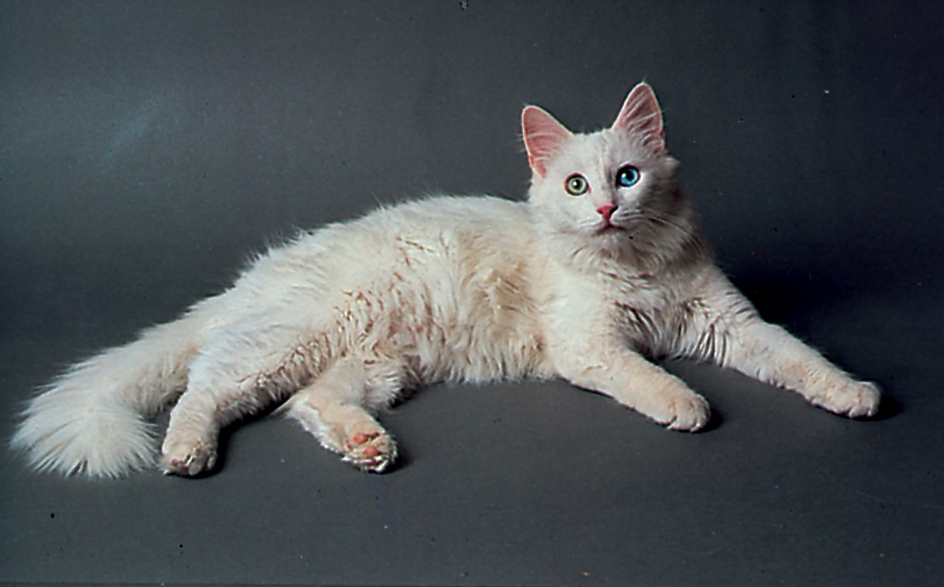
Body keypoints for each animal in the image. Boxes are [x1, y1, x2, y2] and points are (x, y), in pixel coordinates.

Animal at [7, 82, 880, 478]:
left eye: (628, 176)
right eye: (575, 186)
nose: (603, 208)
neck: (636, 272)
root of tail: (257, 273)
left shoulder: (732, 322)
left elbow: (802, 359)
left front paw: (855, 393)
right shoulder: (592, 345)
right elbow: (649, 375)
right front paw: (687, 405)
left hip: (373, 363)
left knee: (306, 404)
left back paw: (367, 447)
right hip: (294, 338)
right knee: (206, 386)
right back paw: (187, 451)